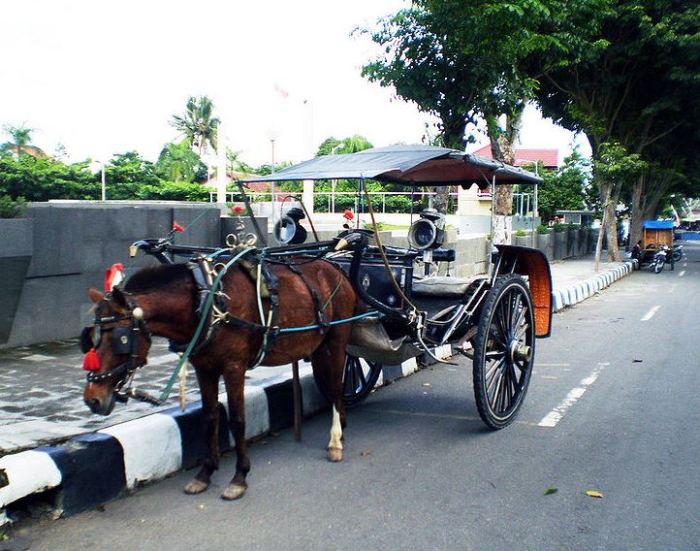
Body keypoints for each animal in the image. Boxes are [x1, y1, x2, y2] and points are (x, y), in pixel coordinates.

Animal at [82, 258, 356, 500]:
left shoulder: (234, 366)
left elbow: (237, 420)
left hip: (338, 338)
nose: (92, 399)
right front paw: (205, 473)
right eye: (91, 337)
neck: (206, 302)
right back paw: (341, 425)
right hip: (318, 344)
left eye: (121, 338)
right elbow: (210, 417)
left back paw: (335, 441)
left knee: (336, 385)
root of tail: (334, 266)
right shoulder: (204, 369)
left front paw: (239, 478)